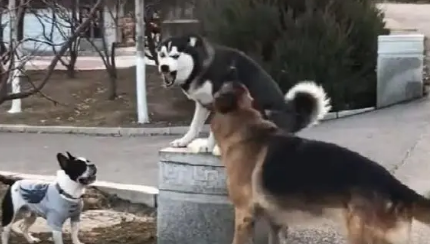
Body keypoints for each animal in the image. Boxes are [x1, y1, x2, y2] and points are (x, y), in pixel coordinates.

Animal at [156, 33, 330, 155]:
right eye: (162, 55)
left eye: (175, 56)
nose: (164, 67)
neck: (201, 66)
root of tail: (295, 120)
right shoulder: (202, 103)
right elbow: (194, 126)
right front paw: (183, 141)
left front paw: (209, 146)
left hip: (265, 112)